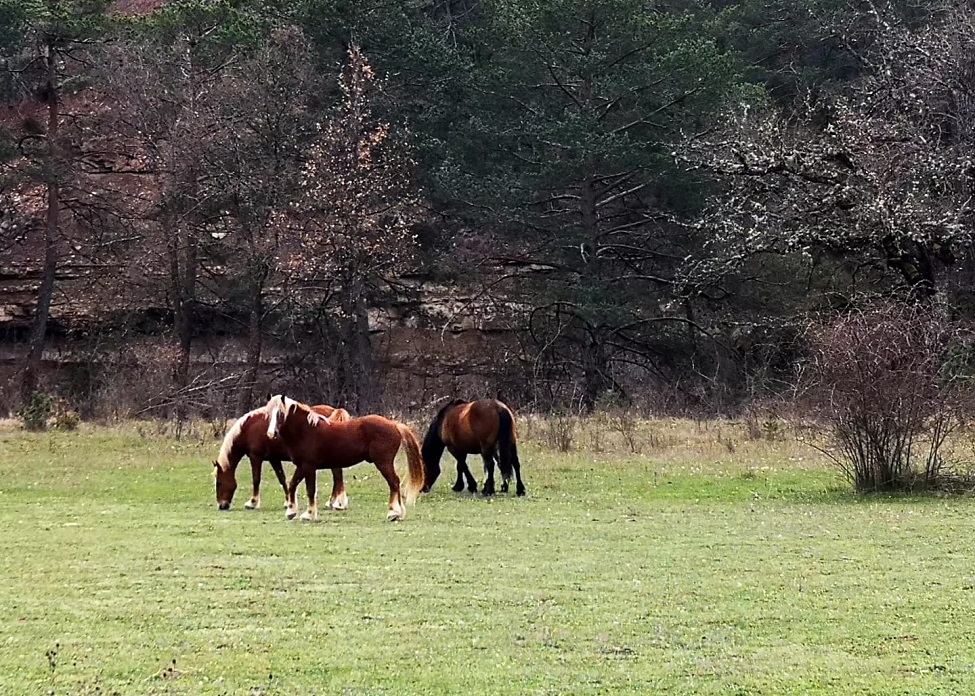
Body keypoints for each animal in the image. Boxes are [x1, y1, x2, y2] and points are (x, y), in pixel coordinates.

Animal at [213, 404, 353, 511]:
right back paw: (333, 502)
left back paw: (338, 504)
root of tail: (335, 410)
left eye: (219, 482)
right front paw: (288, 502)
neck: (249, 428)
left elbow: (256, 479)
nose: (222, 506)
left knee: (337, 476)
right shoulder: (274, 459)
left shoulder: (255, 457)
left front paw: (252, 503)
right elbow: (282, 478)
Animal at [265, 394, 425, 522]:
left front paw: (309, 515)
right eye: (268, 414)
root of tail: (394, 425)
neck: (306, 430)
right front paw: (291, 512)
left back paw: (393, 513)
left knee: (394, 483)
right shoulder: (301, 466)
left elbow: (310, 490)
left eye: (280, 413)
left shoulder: (309, 467)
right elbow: (292, 485)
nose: (271, 434)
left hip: (383, 463)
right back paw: (399, 513)